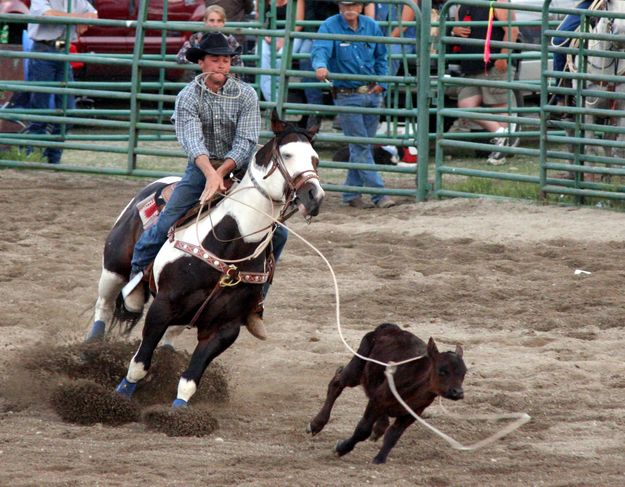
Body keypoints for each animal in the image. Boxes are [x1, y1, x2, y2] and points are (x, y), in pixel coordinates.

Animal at [88, 115, 324, 408]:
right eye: (288, 154)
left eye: (315, 159)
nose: (315, 197)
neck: (232, 245)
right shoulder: (162, 307)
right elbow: (139, 364)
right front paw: (121, 395)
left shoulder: (225, 328)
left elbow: (190, 380)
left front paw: (177, 411)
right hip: (113, 269)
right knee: (105, 304)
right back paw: (90, 346)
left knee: (170, 335)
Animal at [310, 324, 466, 466]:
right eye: (442, 371)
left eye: (464, 373)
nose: (458, 392)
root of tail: (389, 327)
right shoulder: (377, 400)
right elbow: (363, 430)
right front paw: (341, 449)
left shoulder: (412, 413)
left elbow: (393, 435)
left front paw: (379, 459)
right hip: (355, 371)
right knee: (336, 383)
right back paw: (316, 424)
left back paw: (379, 428)